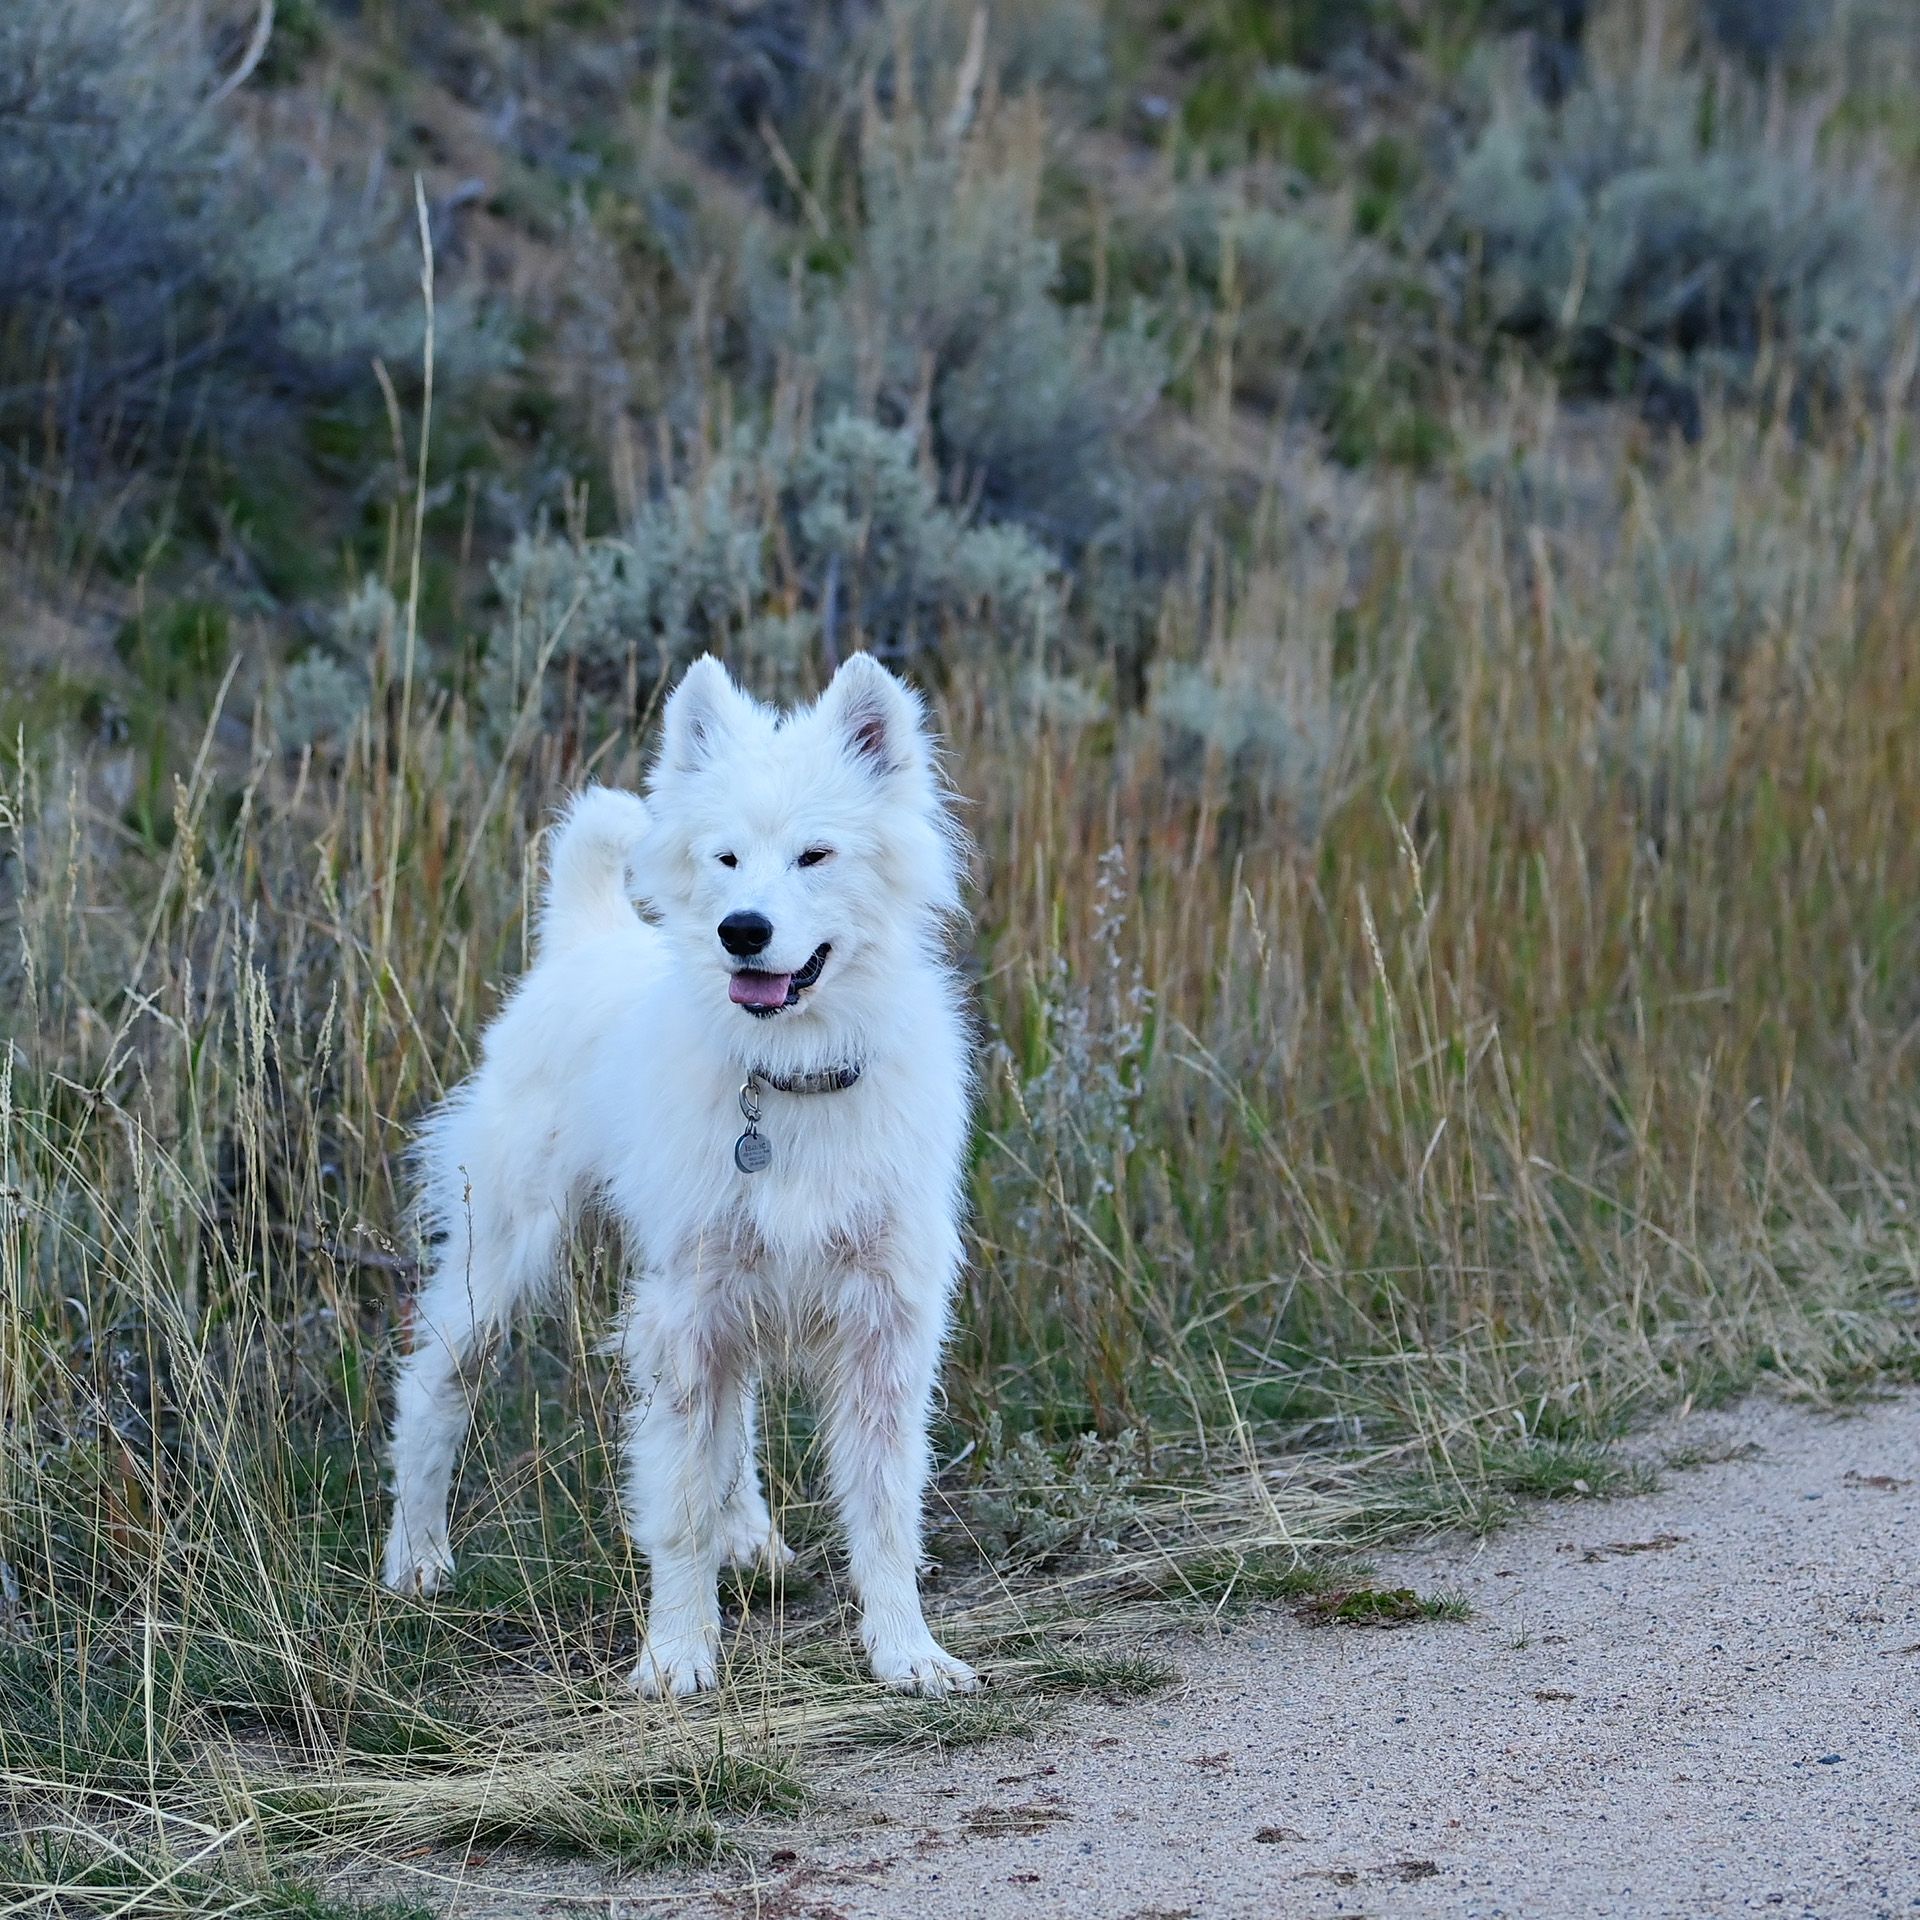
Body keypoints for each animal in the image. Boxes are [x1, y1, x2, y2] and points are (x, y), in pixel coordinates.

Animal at [378, 648, 975, 1697]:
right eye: (725, 859)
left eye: (815, 856)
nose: (743, 930)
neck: (788, 1081)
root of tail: (580, 935)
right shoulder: (684, 1316)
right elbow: (678, 1502)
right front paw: (678, 1654)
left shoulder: (882, 1325)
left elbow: (885, 1511)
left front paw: (907, 1652)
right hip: (502, 1260)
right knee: (433, 1390)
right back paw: (416, 1558)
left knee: (734, 1423)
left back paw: (754, 1542)